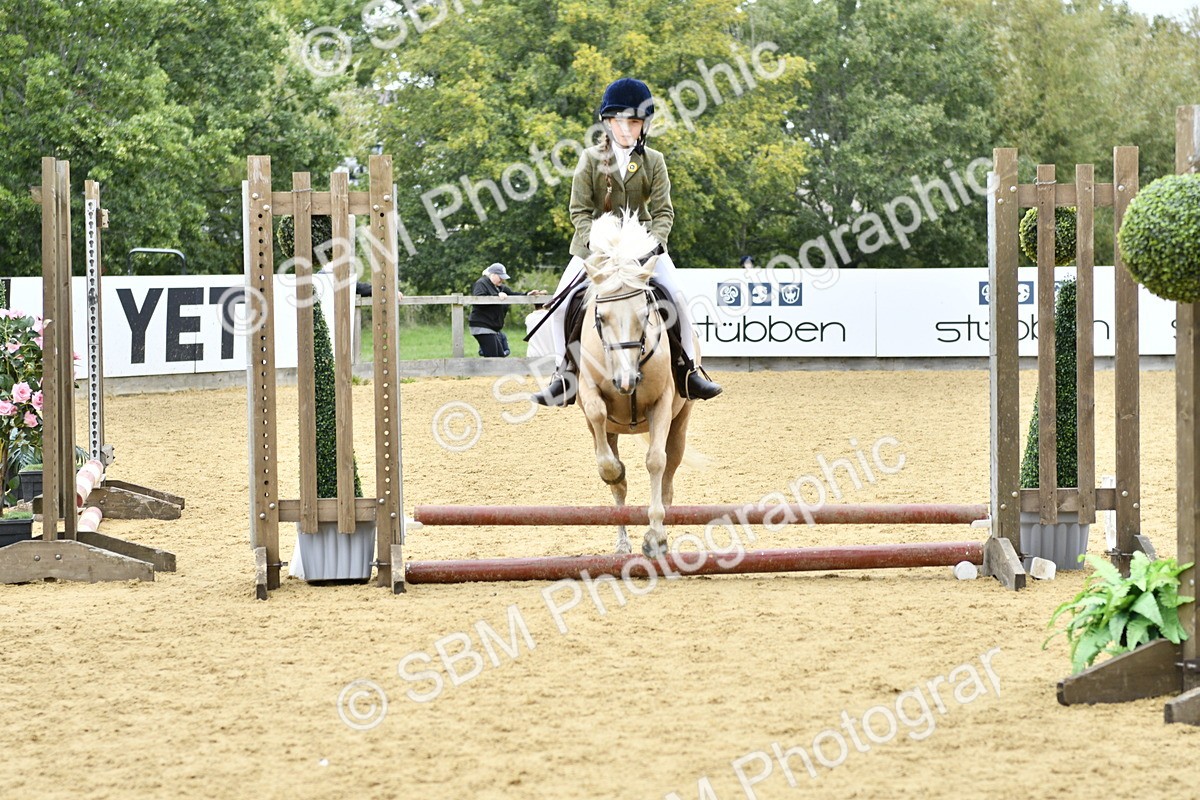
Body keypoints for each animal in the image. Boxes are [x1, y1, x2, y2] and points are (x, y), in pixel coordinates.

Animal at [574, 212, 694, 558]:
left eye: (645, 314)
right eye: (600, 316)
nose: (626, 381)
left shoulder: (663, 403)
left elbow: (656, 462)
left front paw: (655, 537)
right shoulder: (589, 393)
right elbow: (606, 451)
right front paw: (615, 472)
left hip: (680, 423)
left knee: (668, 476)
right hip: (609, 430)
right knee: (617, 485)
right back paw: (622, 542)